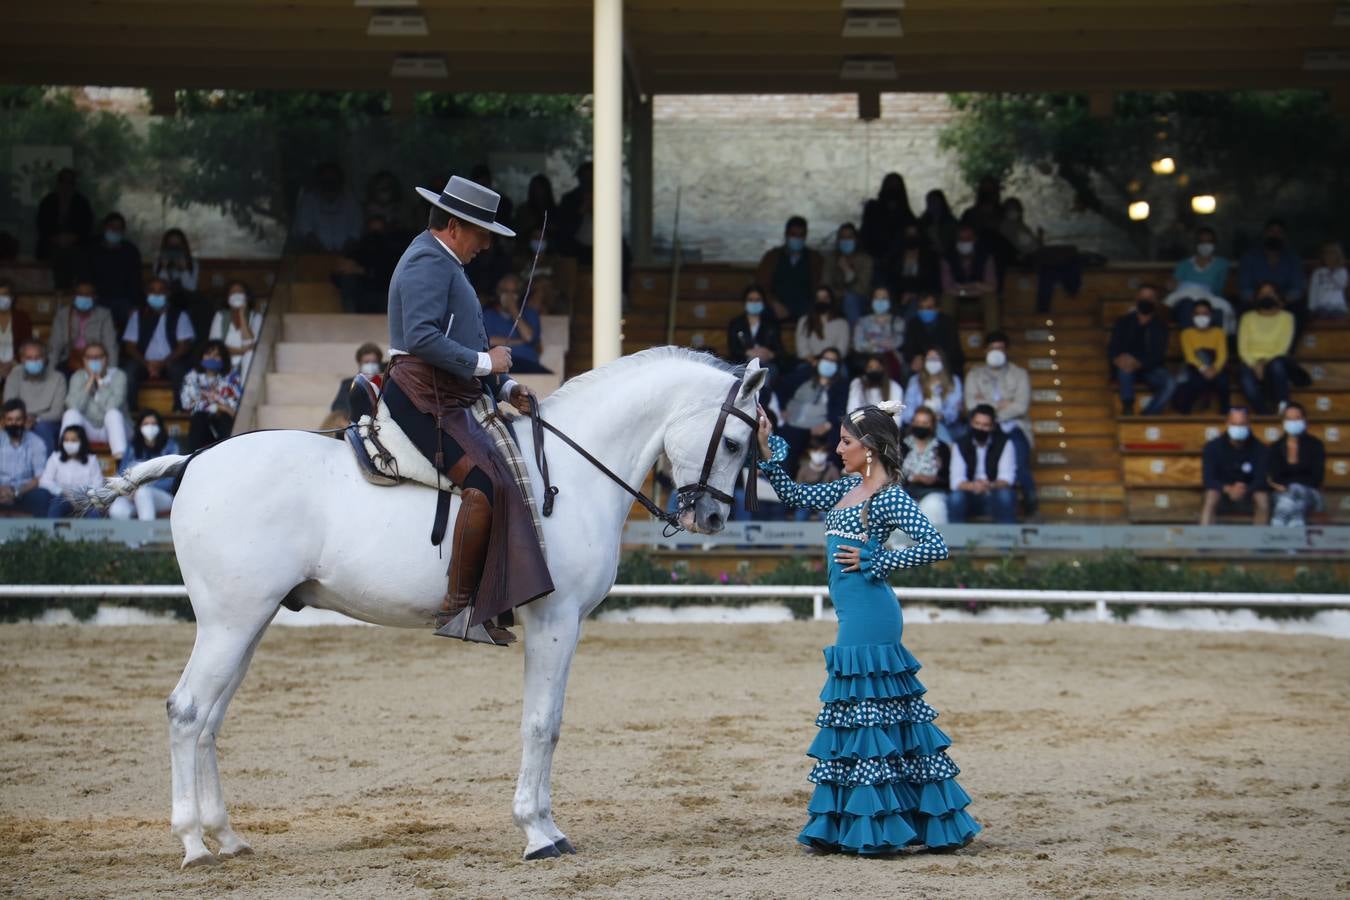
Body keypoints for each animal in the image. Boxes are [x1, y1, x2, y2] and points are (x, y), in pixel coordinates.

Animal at [92, 348, 772, 868]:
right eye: (736, 442)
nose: (712, 518)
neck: (571, 474)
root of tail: (195, 459)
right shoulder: (555, 621)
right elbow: (542, 724)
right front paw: (538, 832)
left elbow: (548, 722)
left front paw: (545, 826)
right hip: (230, 623)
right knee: (186, 712)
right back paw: (192, 844)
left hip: (247, 623)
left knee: (209, 719)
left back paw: (227, 837)